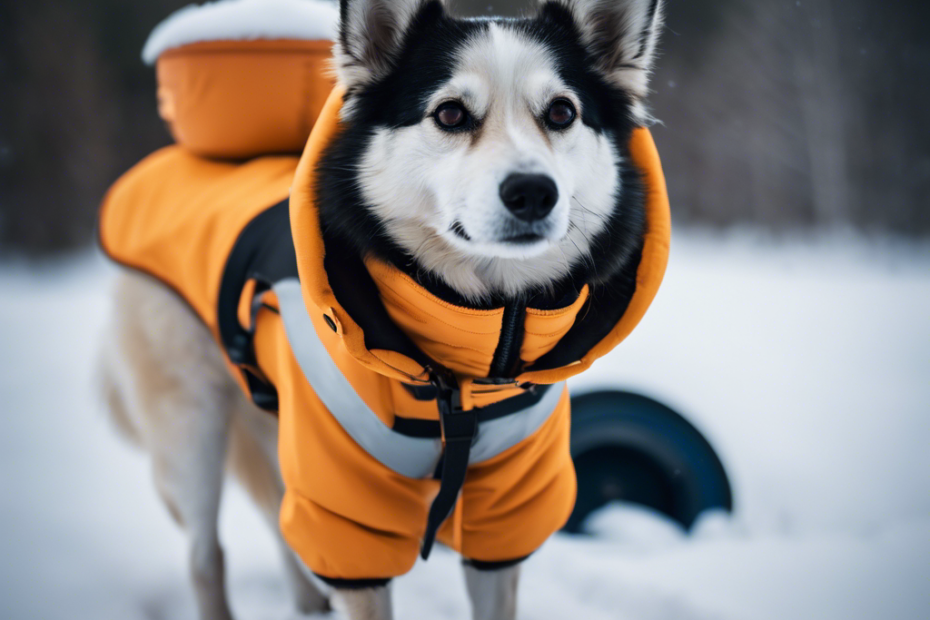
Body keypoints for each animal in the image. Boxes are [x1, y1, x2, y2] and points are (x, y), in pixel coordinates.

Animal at [98, 1, 664, 620]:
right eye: (450, 113)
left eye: (562, 111)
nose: (534, 192)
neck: (470, 359)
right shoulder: (347, 507)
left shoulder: (507, 513)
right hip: (190, 431)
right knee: (207, 555)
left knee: (280, 523)